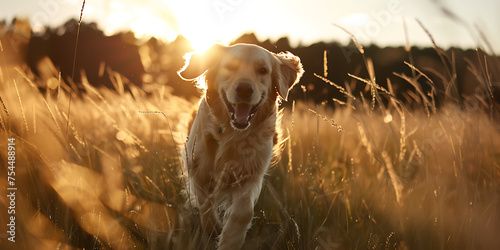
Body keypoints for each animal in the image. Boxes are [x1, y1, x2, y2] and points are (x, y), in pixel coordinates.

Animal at [180, 44, 302, 249]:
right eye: (230, 66)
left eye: (263, 70)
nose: (244, 89)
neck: (232, 133)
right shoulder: (197, 168)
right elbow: (205, 203)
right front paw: (213, 228)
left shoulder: (251, 174)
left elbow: (243, 212)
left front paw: (230, 240)